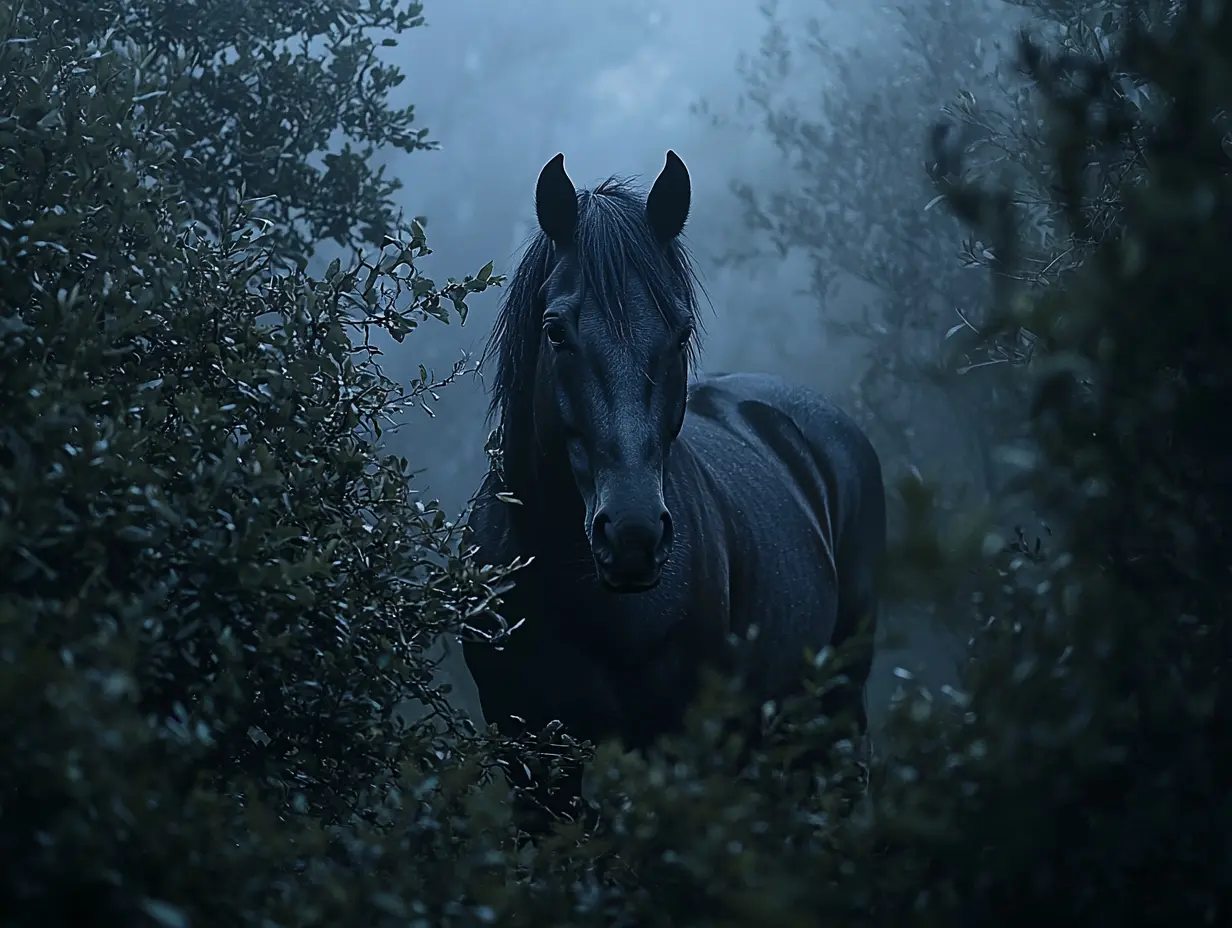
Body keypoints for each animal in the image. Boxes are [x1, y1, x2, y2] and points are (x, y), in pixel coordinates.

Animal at [462, 150, 887, 833]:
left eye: (682, 331)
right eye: (554, 330)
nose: (633, 535)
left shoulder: (682, 754)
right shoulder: (534, 769)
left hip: (836, 704)